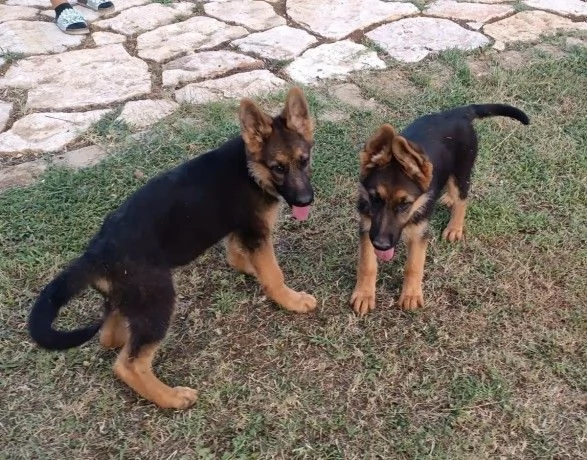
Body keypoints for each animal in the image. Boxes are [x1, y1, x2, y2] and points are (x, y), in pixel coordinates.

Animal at [27, 87, 316, 410]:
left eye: (304, 160)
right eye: (278, 168)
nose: (305, 201)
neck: (249, 168)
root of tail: (95, 252)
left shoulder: (240, 231)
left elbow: (238, 256)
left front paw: (253, 272)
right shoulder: (256, 232)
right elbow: (273, 274)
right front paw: (290, 299)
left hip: (128, 298)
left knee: (110, 336)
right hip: (159, 300)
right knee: (129, 364)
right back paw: (170, 397)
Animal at [352, 103, 532, 316]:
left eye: (405, 204)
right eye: (374, 199)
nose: (381, 245)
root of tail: (457, 112)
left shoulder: (420, 233)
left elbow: (414, 265)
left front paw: (411, 294)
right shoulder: (368, 228)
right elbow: (367, 264)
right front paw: (364, 294)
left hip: (462, 172)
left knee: (462, 200)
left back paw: (454, 227)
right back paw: (447, 198)